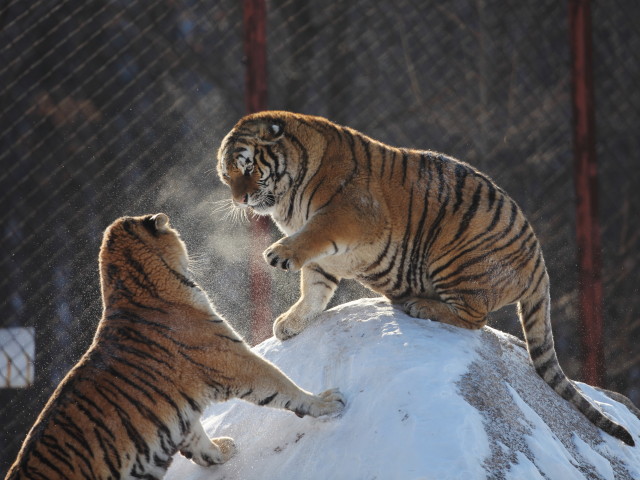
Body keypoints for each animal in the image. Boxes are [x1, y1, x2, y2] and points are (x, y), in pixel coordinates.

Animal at [6, 214, 344, 480]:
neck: (131, 287)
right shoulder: (235, 361)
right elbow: (282, 385)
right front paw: (324, 403)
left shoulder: (179, 416)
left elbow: (198, 442)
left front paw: (222, 451)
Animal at [216, 109, 636, 446]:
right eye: (226, 175)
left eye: (248, 168)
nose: (239, 200)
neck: (289, 195)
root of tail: (539, 261)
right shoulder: (326, 262)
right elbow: (314, 290)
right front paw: (291, 322)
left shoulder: (348, 214)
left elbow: (312, 238)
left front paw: (280, 254)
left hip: (455, 255)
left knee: (474, 318)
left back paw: (419, 306)